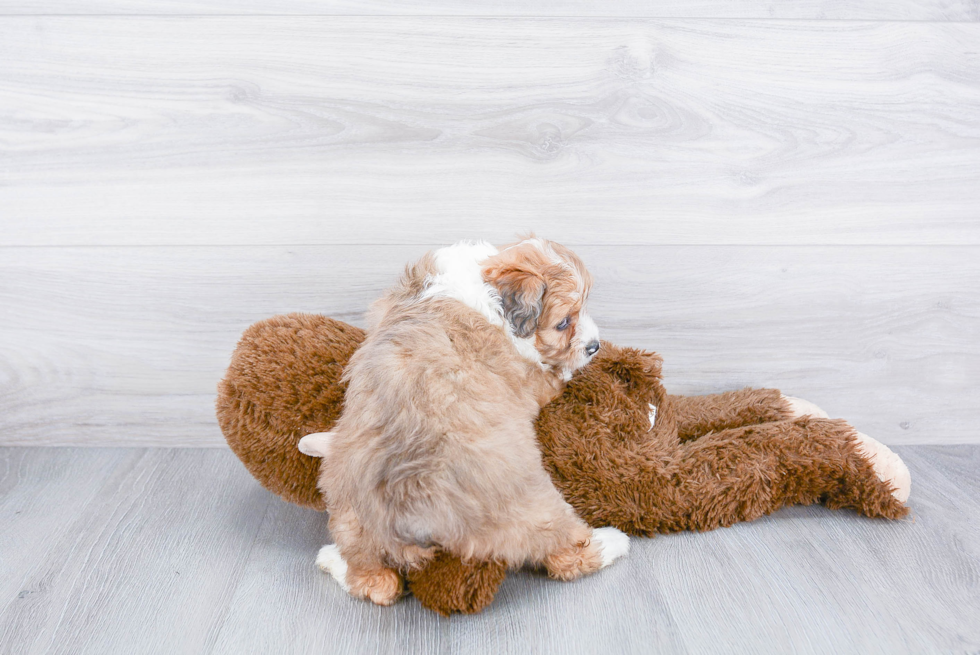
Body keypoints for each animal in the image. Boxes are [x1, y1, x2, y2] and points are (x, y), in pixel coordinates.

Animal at [298, 238, 632, 608]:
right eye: (562, 323)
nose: (595, 346)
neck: (482, 286)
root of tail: (413, 516)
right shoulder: (534, 380)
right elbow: (553, 375)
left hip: (350, 517)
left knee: (374, 583)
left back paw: (330, 555)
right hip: (533, 506)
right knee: (568, 556)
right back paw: (613, 541)